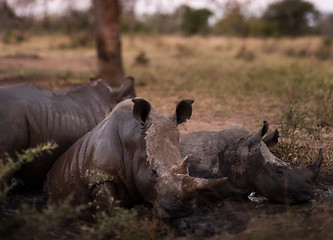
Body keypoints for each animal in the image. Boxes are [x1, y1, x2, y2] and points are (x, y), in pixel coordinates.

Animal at [44, 98, 226, 219]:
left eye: (188, 170)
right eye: (153, 171)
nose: (184, 210)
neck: (132, 139)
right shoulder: (100, 178)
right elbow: (110, 211)